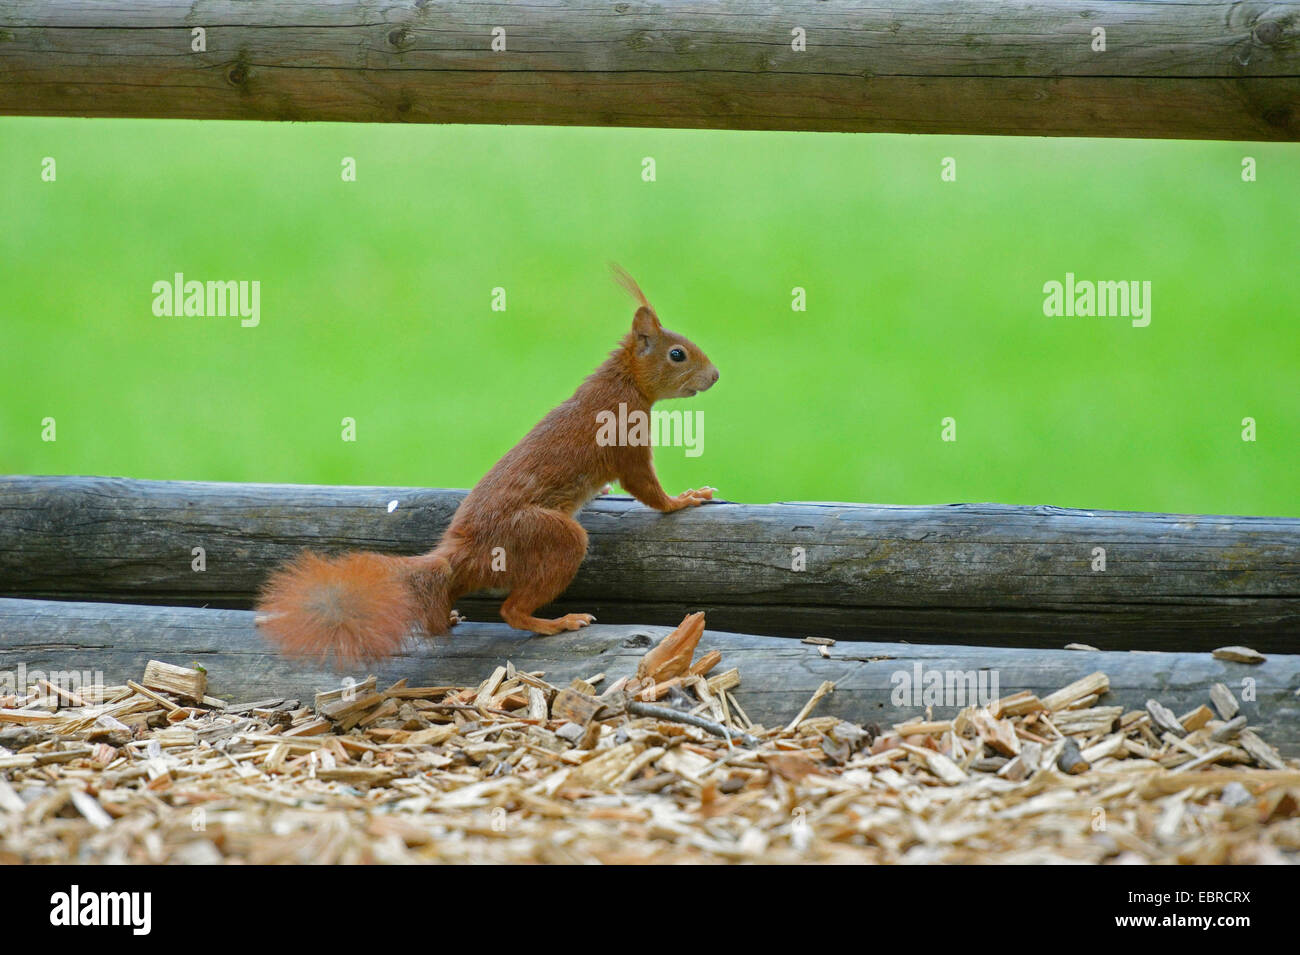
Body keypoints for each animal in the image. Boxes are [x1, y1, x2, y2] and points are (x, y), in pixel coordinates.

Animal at [257, 265, 717, 660]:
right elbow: (647, 488)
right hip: (548, 537)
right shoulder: (626, 437)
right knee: (512, 610)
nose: (714, 377)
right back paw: (558, 623)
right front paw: (684, 499)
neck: (624, 381)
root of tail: (463, 556)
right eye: (678, 355)